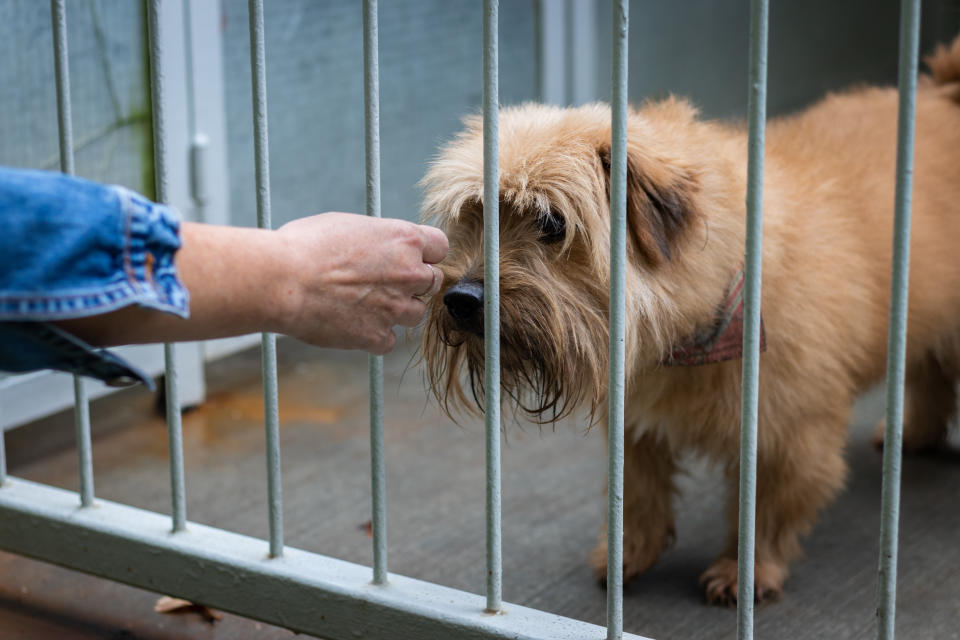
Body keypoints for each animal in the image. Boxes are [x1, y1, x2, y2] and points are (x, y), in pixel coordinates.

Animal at [424, 35, 960, 604]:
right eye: (475, 213)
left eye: (551, 223)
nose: (460, 298)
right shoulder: (636, 426)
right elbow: (636, 496)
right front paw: (628, 555)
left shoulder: (788, 437)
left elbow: (765, 512)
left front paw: (747, 573)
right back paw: (916, 432)